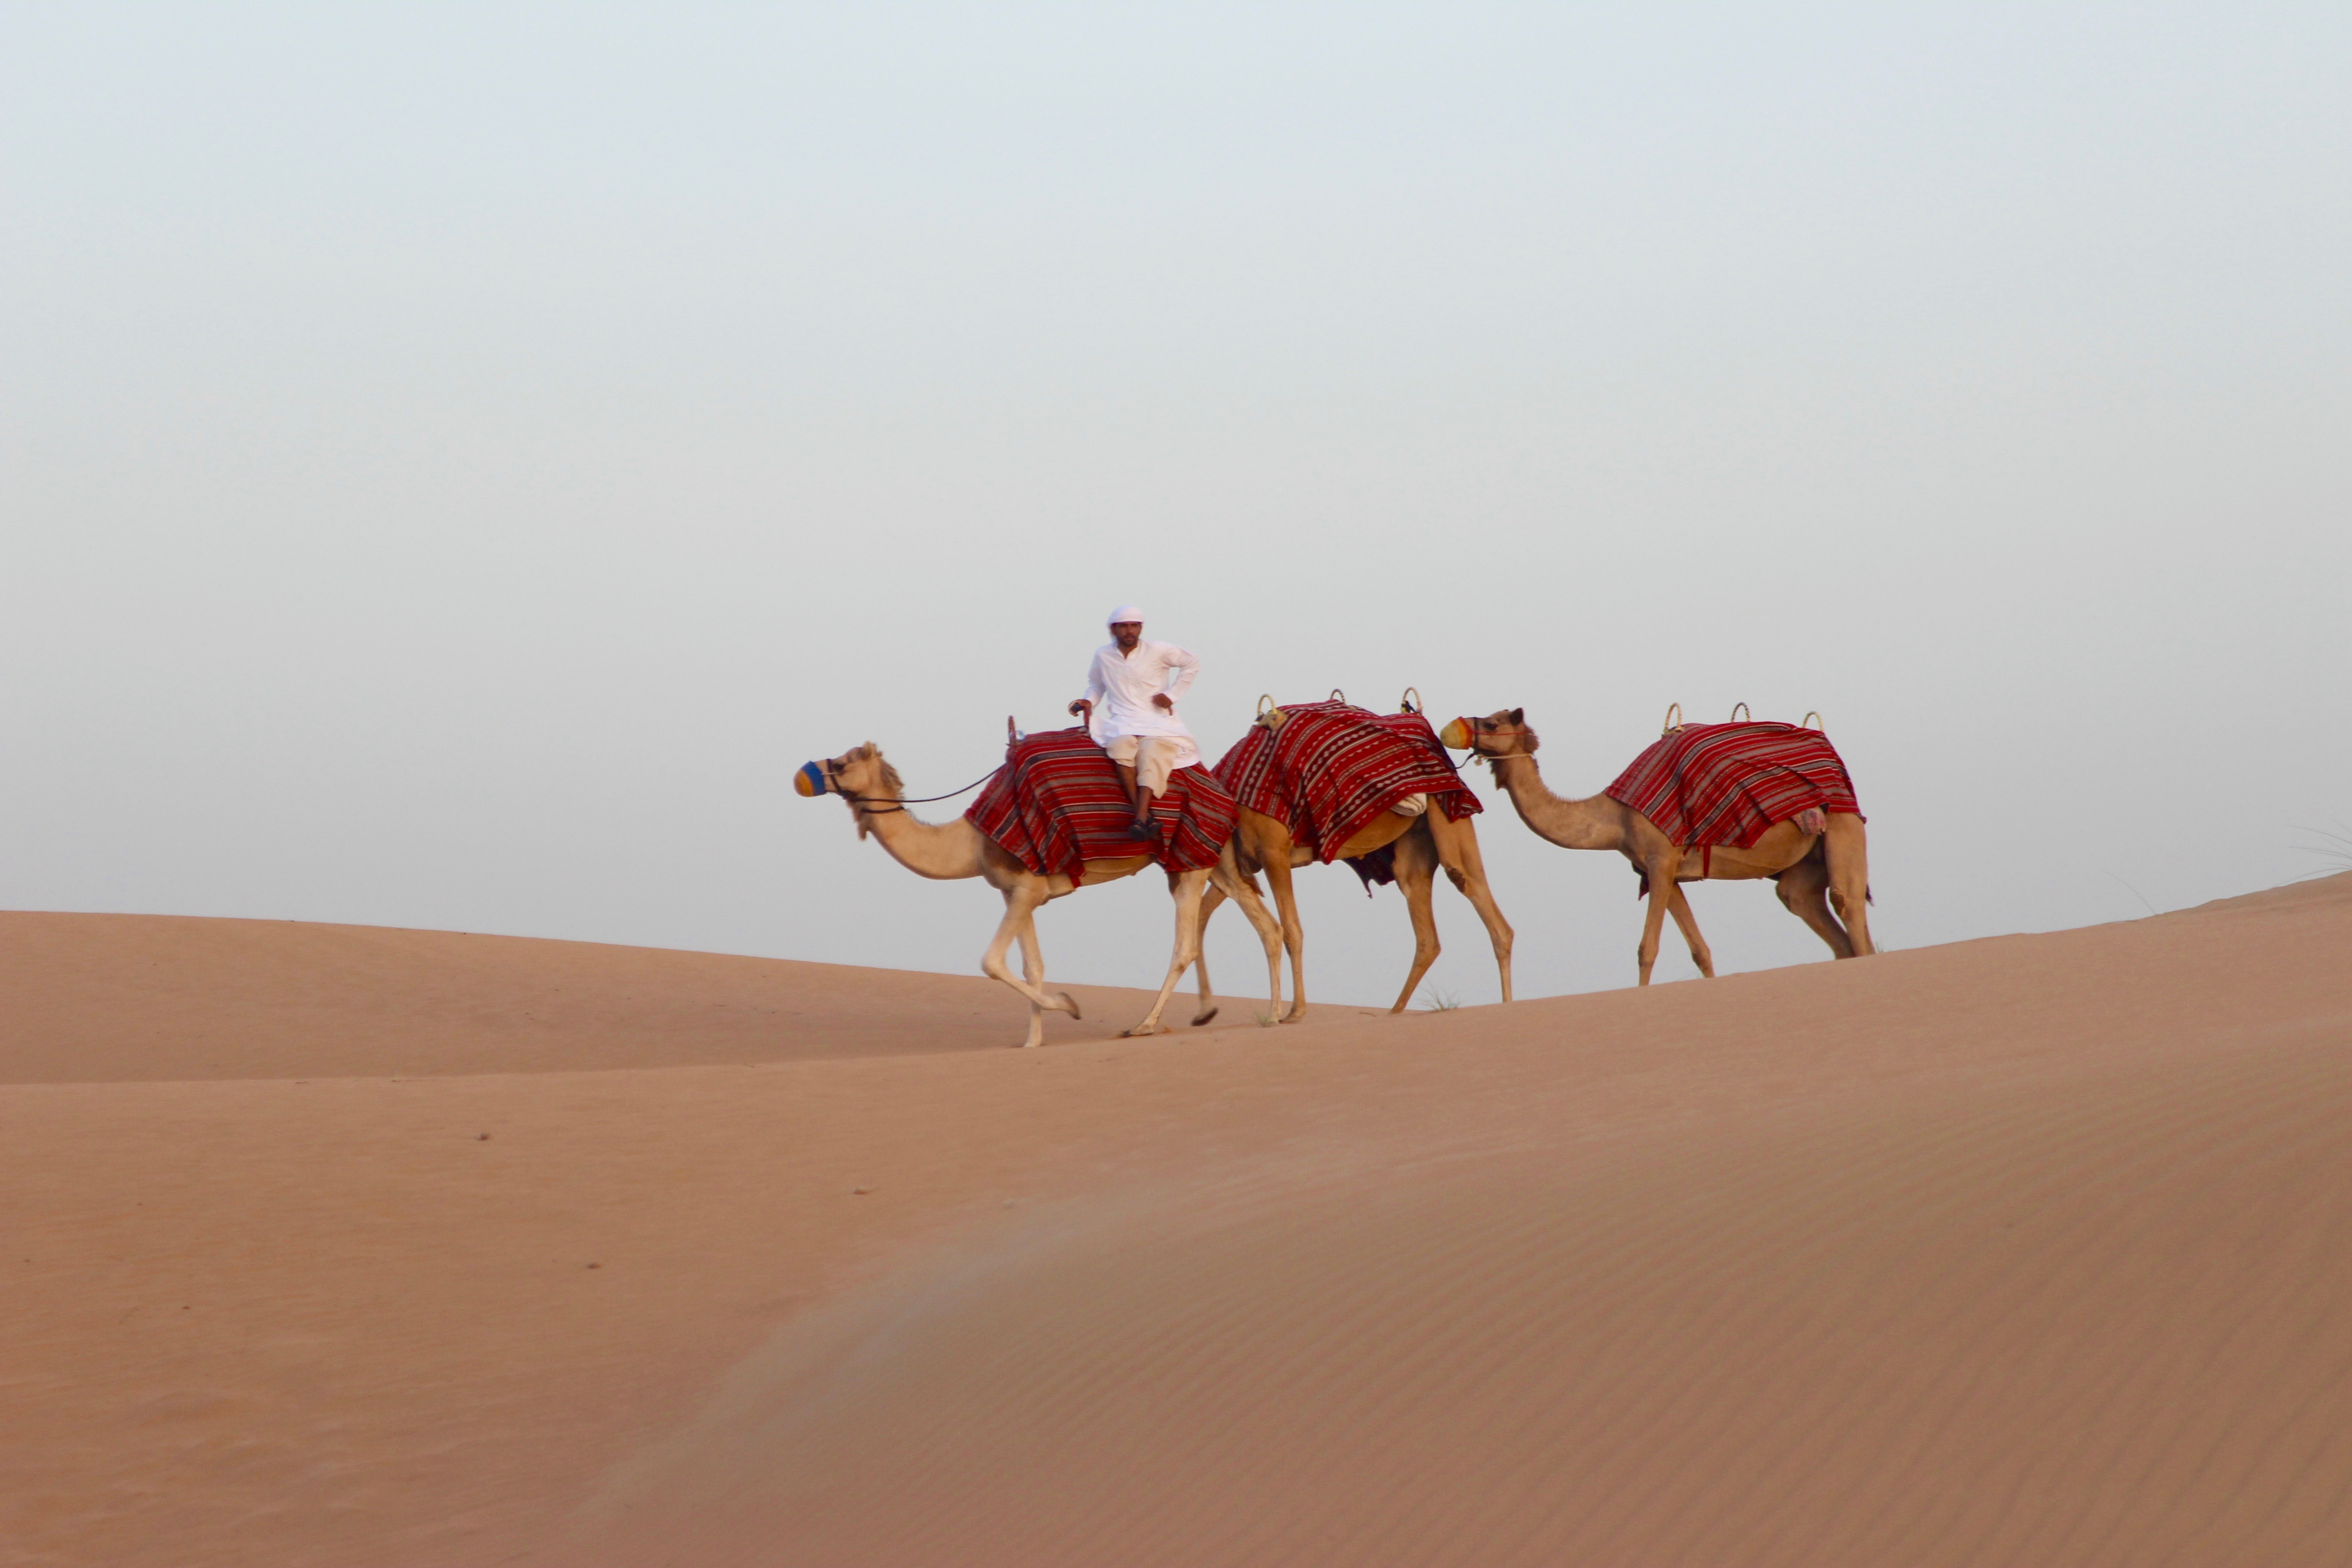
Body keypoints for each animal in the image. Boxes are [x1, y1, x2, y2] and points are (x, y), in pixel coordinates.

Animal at [809, 743, 1289, 1048]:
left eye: (844, 762)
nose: (810, 770)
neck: (972, 843)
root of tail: (1224, 792)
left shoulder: (1026, 886)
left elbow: (992, 961)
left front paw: (1069, 1006)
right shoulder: (1017, 894)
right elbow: (1032, 966)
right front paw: (1033, 1043)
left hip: (1188, 863)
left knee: (1185, 945)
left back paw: (1144, 1026)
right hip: (1216, 858)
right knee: (1268, 927)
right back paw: (1274, 1016)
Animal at [1430, 715, 1872, 987]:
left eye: (1491, 722)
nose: (1451, 729)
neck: (1615, 817)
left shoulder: (1661, 860)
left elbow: (1648, 949)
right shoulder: (1664, 872)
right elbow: (1700, 950)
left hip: (1843, 823)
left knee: (1849, 906)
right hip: (1803, 867)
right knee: (1817, 918)